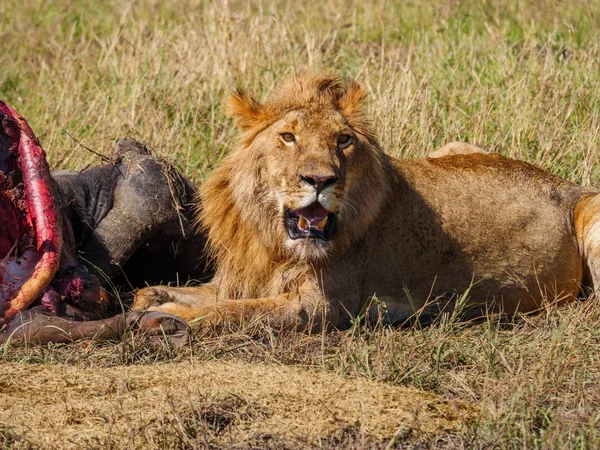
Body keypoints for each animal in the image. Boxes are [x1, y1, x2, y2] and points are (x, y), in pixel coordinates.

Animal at [135, 72, 600, 328]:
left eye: (343, 140)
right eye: (288, 137)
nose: (320, 179)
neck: (270, 239)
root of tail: (565, 184)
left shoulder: (321, 306)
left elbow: (232, 313)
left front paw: (167, 321)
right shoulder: (240, 280)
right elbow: (163, 291)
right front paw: (149, 303)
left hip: (591, 215)